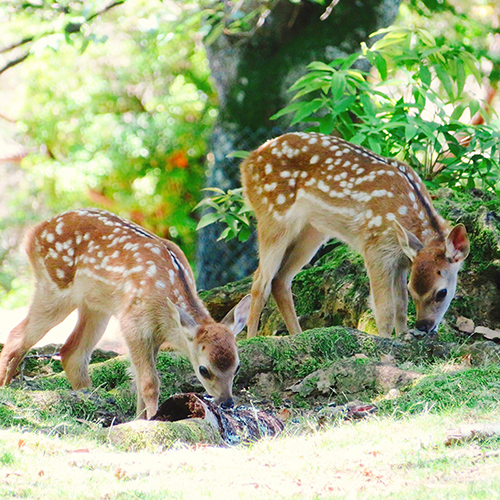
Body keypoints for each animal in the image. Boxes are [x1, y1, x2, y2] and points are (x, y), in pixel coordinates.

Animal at [0, 209, 250, 420]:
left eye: (237, 366)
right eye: (203, 369)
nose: (227, 402)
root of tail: (33, 234)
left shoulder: (154, 334)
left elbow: (139, 381)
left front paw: (139, 418)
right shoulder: (133, 322)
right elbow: (149, 382)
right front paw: (152, 419)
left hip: (95, 306)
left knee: (71, 352)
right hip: (54, 288)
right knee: (17, 334)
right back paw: (5, 386)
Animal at [241, 132, 468, 340]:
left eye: (441, 293)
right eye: (414, 290)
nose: (423, 326)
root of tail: (247, 163)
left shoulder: (402, 261)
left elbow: (401, 307)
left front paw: (404, 335)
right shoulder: (375, 248)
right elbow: (385, 309)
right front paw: (385, 341)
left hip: (312, 231)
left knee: (280, 280)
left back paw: (298, 335)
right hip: (272, 216)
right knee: (260, 281)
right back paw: (252, 340)